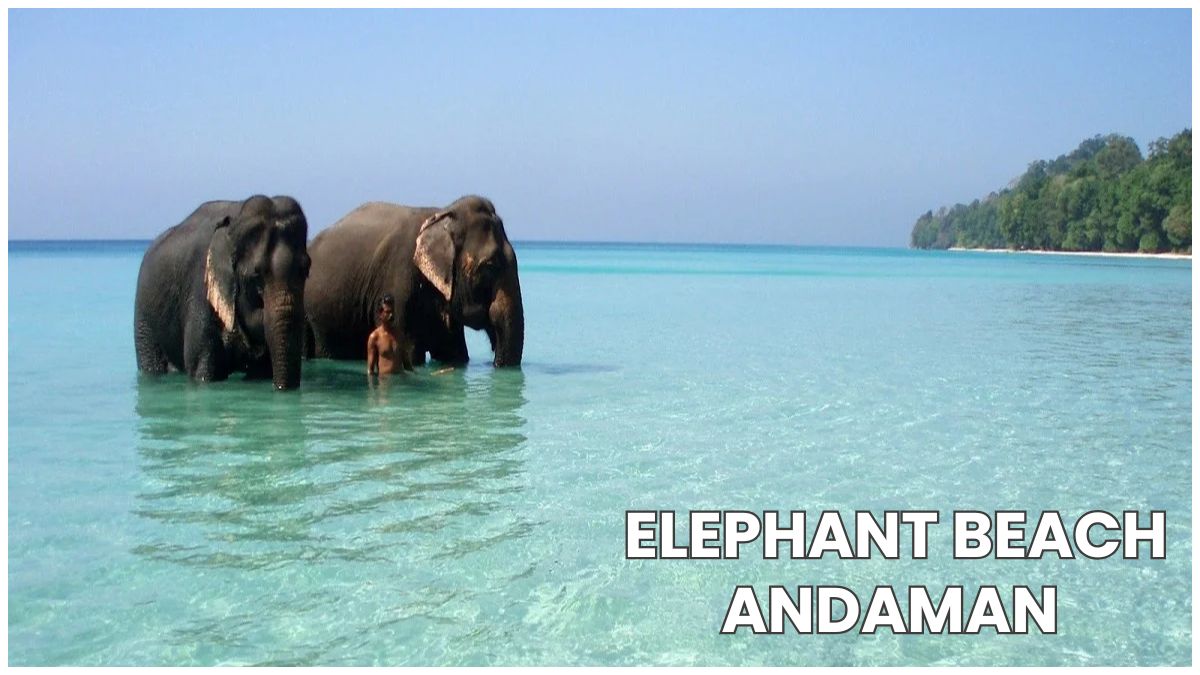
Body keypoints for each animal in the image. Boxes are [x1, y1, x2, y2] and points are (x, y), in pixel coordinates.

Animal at [305, 195, 524, 368]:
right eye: (490, 266)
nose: (494, 363)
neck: (442, 215)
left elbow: (454, 352)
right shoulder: (399, 282)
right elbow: (409, 352)